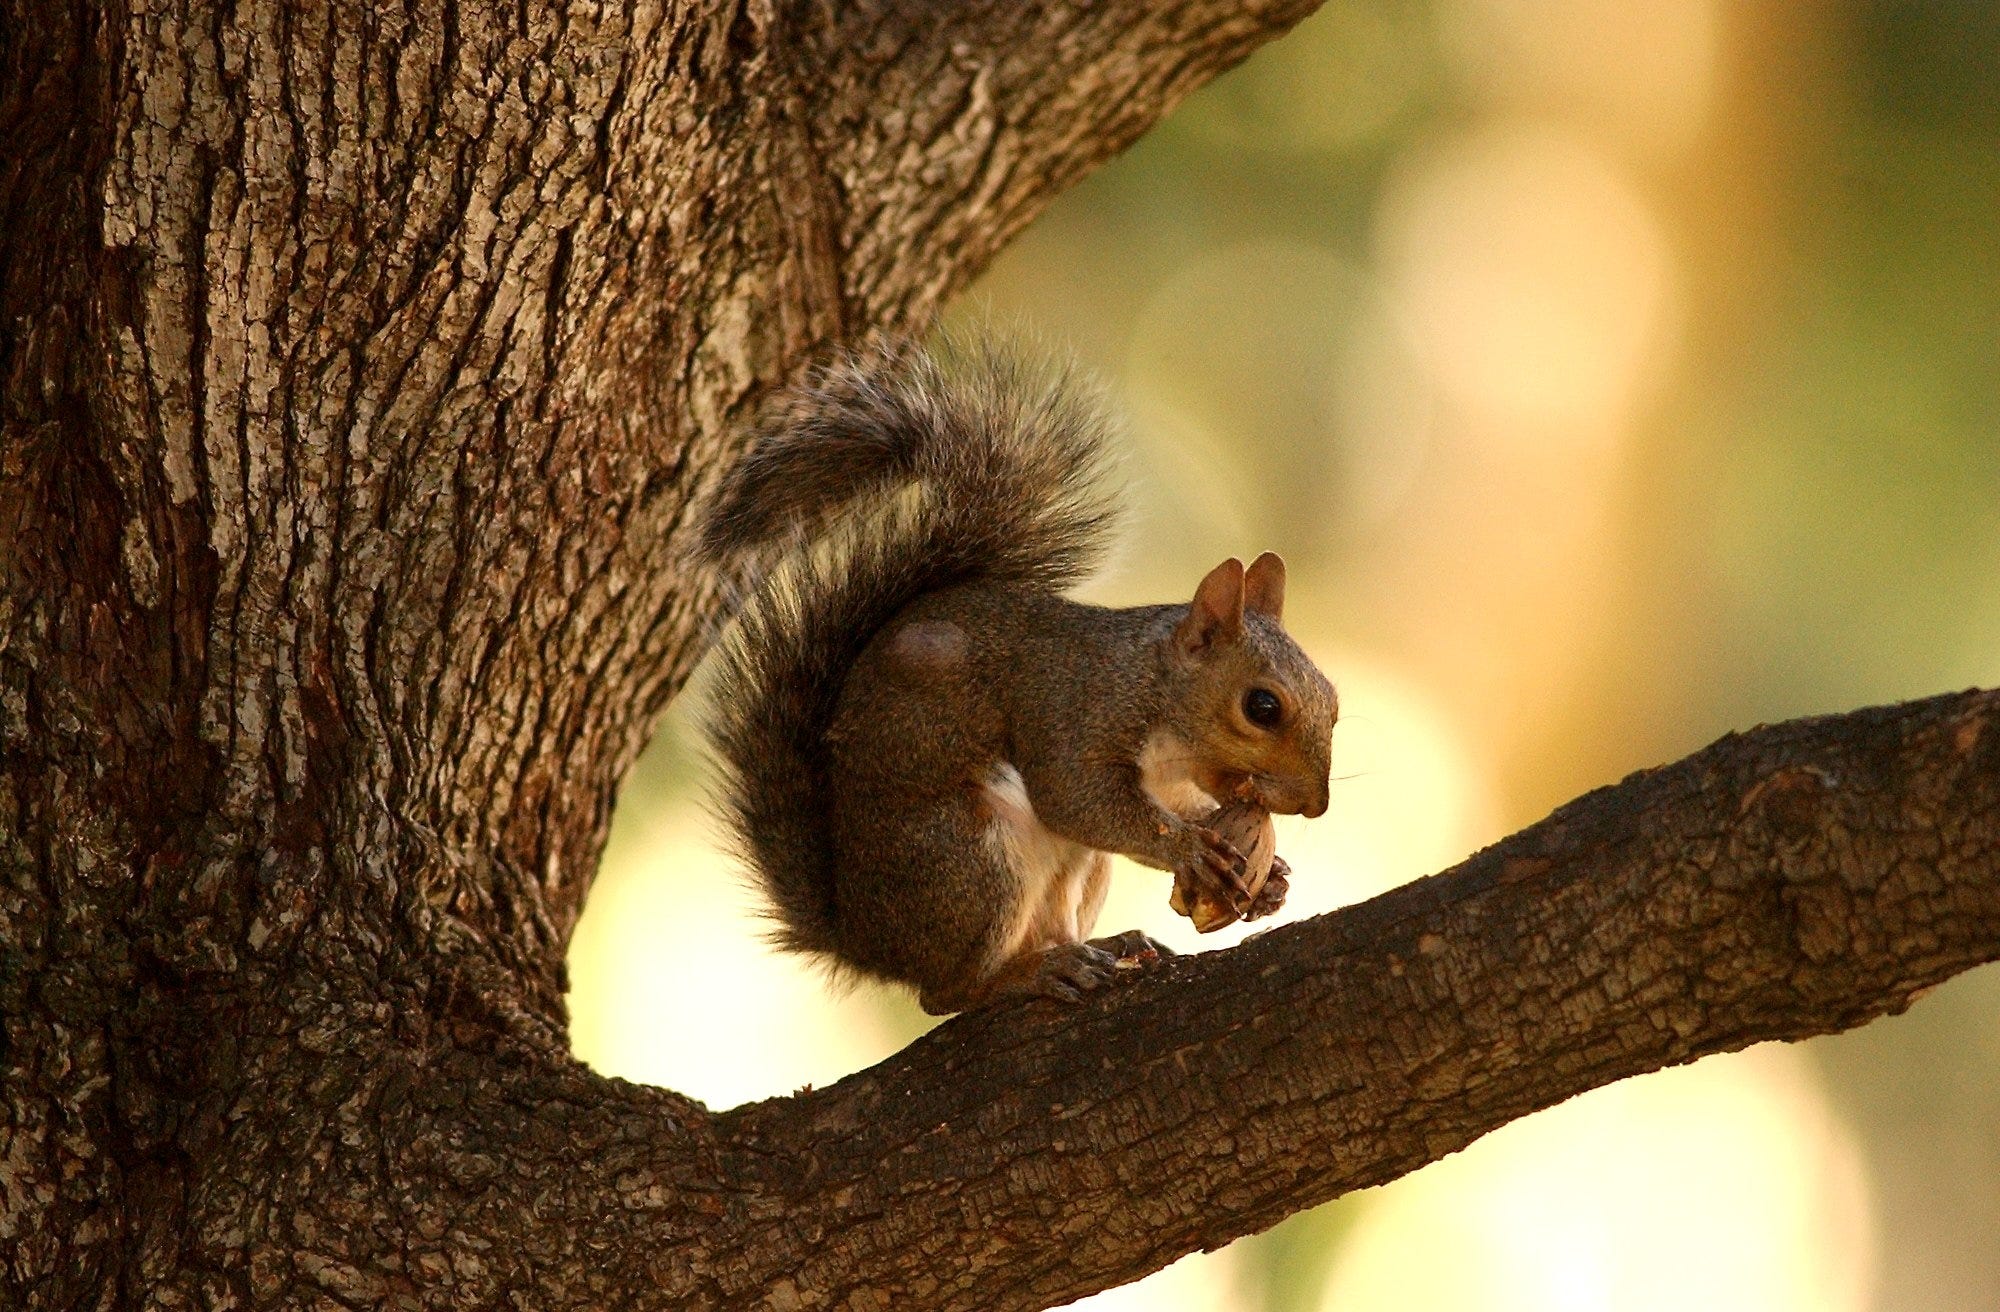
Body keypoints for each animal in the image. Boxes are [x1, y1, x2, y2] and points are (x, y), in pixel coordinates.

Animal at [697, 340, 1337, 1015]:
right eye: (1262, 707)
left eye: (1333, 700)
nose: (1315, 806)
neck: (1153, 691)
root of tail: (865, 940)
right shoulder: (1070, 708)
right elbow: (1077, 799)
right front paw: (1189, 847)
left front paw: (1273, 880)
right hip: (967, 858)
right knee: (945, 993)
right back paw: (1025, 974)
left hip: (1074, 873)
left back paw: (1095, 947)